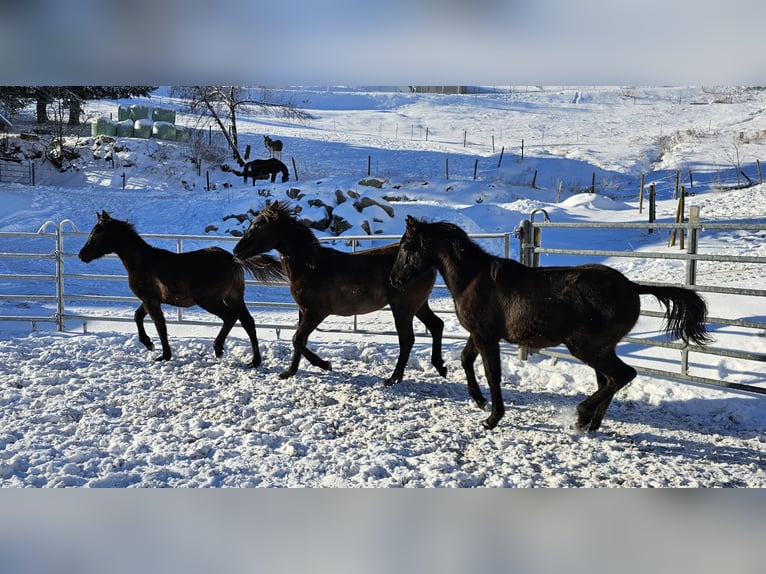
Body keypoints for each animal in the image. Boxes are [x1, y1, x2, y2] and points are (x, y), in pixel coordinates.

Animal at [78, 211, 284, 367]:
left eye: (95, 234)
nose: (82, 255)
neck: (142, 262)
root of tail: (232, 259)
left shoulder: (151, 301)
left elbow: (160, 325)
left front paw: (163, 354)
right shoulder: (151, 299)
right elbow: (137, 316)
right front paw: (149, 344)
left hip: (209, 300)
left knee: (230, 317)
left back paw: (218, 349)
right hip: (234, 297)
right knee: (248, 322)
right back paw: (255, 361)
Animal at [232, 201, 447, 385]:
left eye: (258, 227)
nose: (236, 252)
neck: (310, 267)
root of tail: (428, 262)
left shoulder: (316, 313)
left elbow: (297, 339)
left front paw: (325, 364)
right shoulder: (303, 311)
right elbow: (299, 341)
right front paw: (289, 372)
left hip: (403, 307)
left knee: (407, 339)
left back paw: (394, 378)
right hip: (418, 305)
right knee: (436, 325)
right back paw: (440, 367)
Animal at [389, 216, 712, 432]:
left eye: (406, 246)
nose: (395, 280)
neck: (473, 280)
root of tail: (631, 287)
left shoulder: (486, 336)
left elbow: (492, 373)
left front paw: (492, 417)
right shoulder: (479, 334)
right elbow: (467, 360)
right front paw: (479, 401)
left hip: (586, 347)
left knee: (621, 375)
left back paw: (582, 415)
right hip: (601, 348)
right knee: (610, 380)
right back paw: (590, 424)